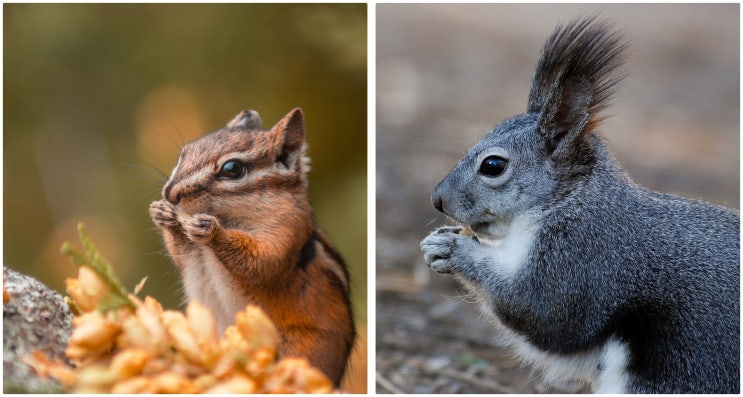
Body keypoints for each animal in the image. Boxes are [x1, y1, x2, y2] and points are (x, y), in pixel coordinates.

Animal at [422, 17, 740, 392]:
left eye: (493, 166)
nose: (438, 200)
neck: (569, 201)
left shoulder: (584, 258)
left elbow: (543, 311)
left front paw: (453, 249)